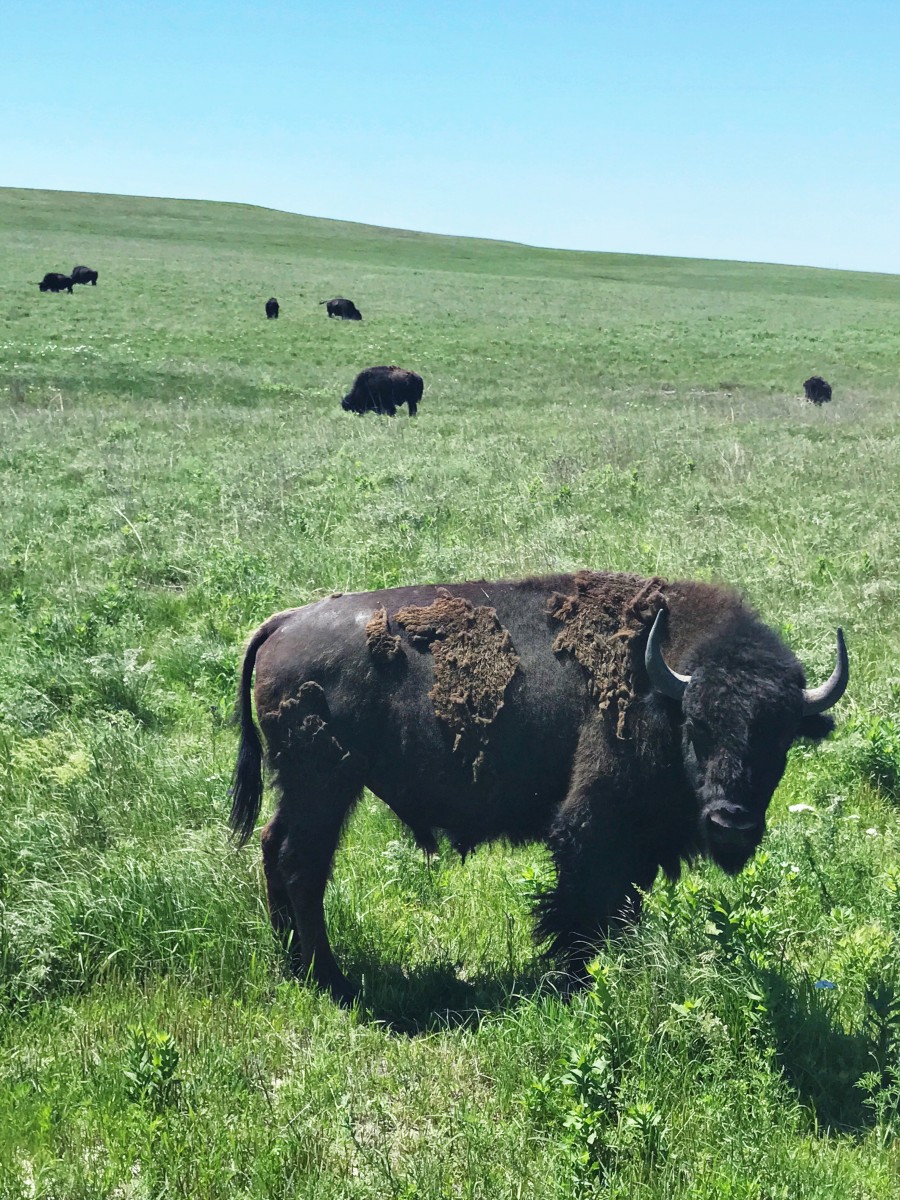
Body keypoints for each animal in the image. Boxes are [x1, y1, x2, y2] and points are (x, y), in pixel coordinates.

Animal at [229, 566, 849, 998]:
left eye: (780, 738)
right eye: (698, 725)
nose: (731, 822)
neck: (663, 685)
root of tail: (284, 622)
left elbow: (623, 905)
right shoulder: (592, 826)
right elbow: (581, 904)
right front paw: (574, 980)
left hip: (305, 791)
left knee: (274, 848)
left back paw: (294, 963)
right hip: (325, 789)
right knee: (301, 864)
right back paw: (331, 980)